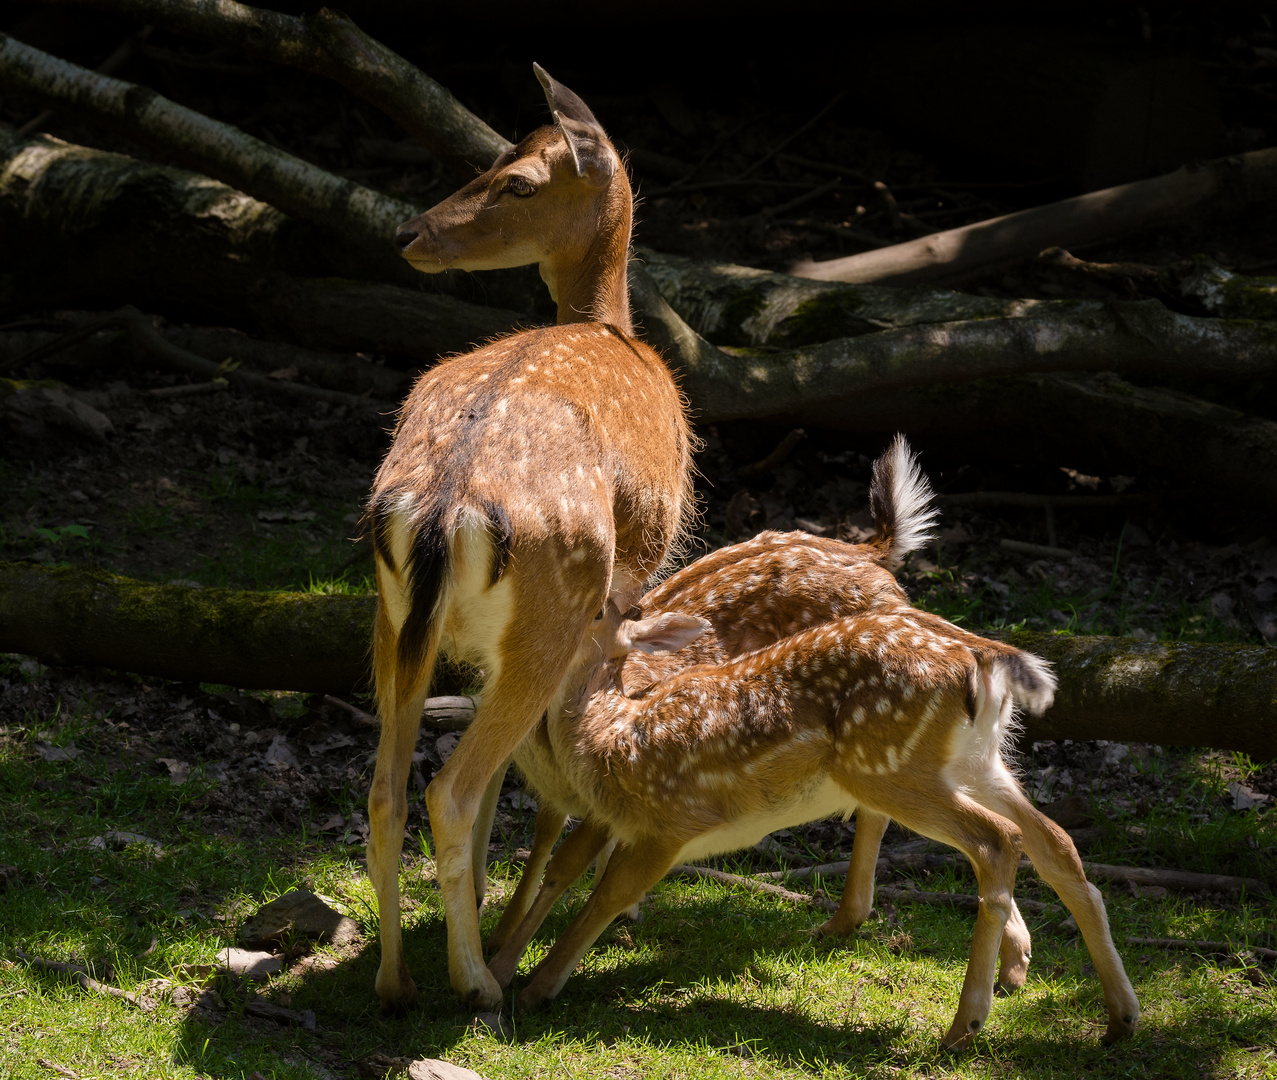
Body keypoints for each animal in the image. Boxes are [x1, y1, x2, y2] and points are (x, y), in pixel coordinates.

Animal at [365, 67, 694, 1016]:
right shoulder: (628, 588)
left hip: (391, 615)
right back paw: (475, 983)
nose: (406, 232)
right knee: (452, 786)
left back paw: (397, 979)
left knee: (387, 787)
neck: (613, 323)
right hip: (557, 602)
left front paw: (479, 903)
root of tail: (443, 509)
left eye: (513, 179)